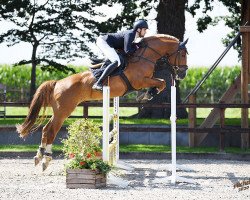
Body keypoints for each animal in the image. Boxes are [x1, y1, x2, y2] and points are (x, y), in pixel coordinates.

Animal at [16, 34, 188, 170]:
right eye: (183, 54)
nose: (183, 73)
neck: (144, 56)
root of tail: (57, 83)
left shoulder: (145, 80)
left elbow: (160, 83)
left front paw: (148, 94)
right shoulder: (140, 81)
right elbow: (161, 82)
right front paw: (147, 95)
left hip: (59, 112)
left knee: (46, 129)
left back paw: (40, 156)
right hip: (63, 112)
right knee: (50, 130)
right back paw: (46, 158)